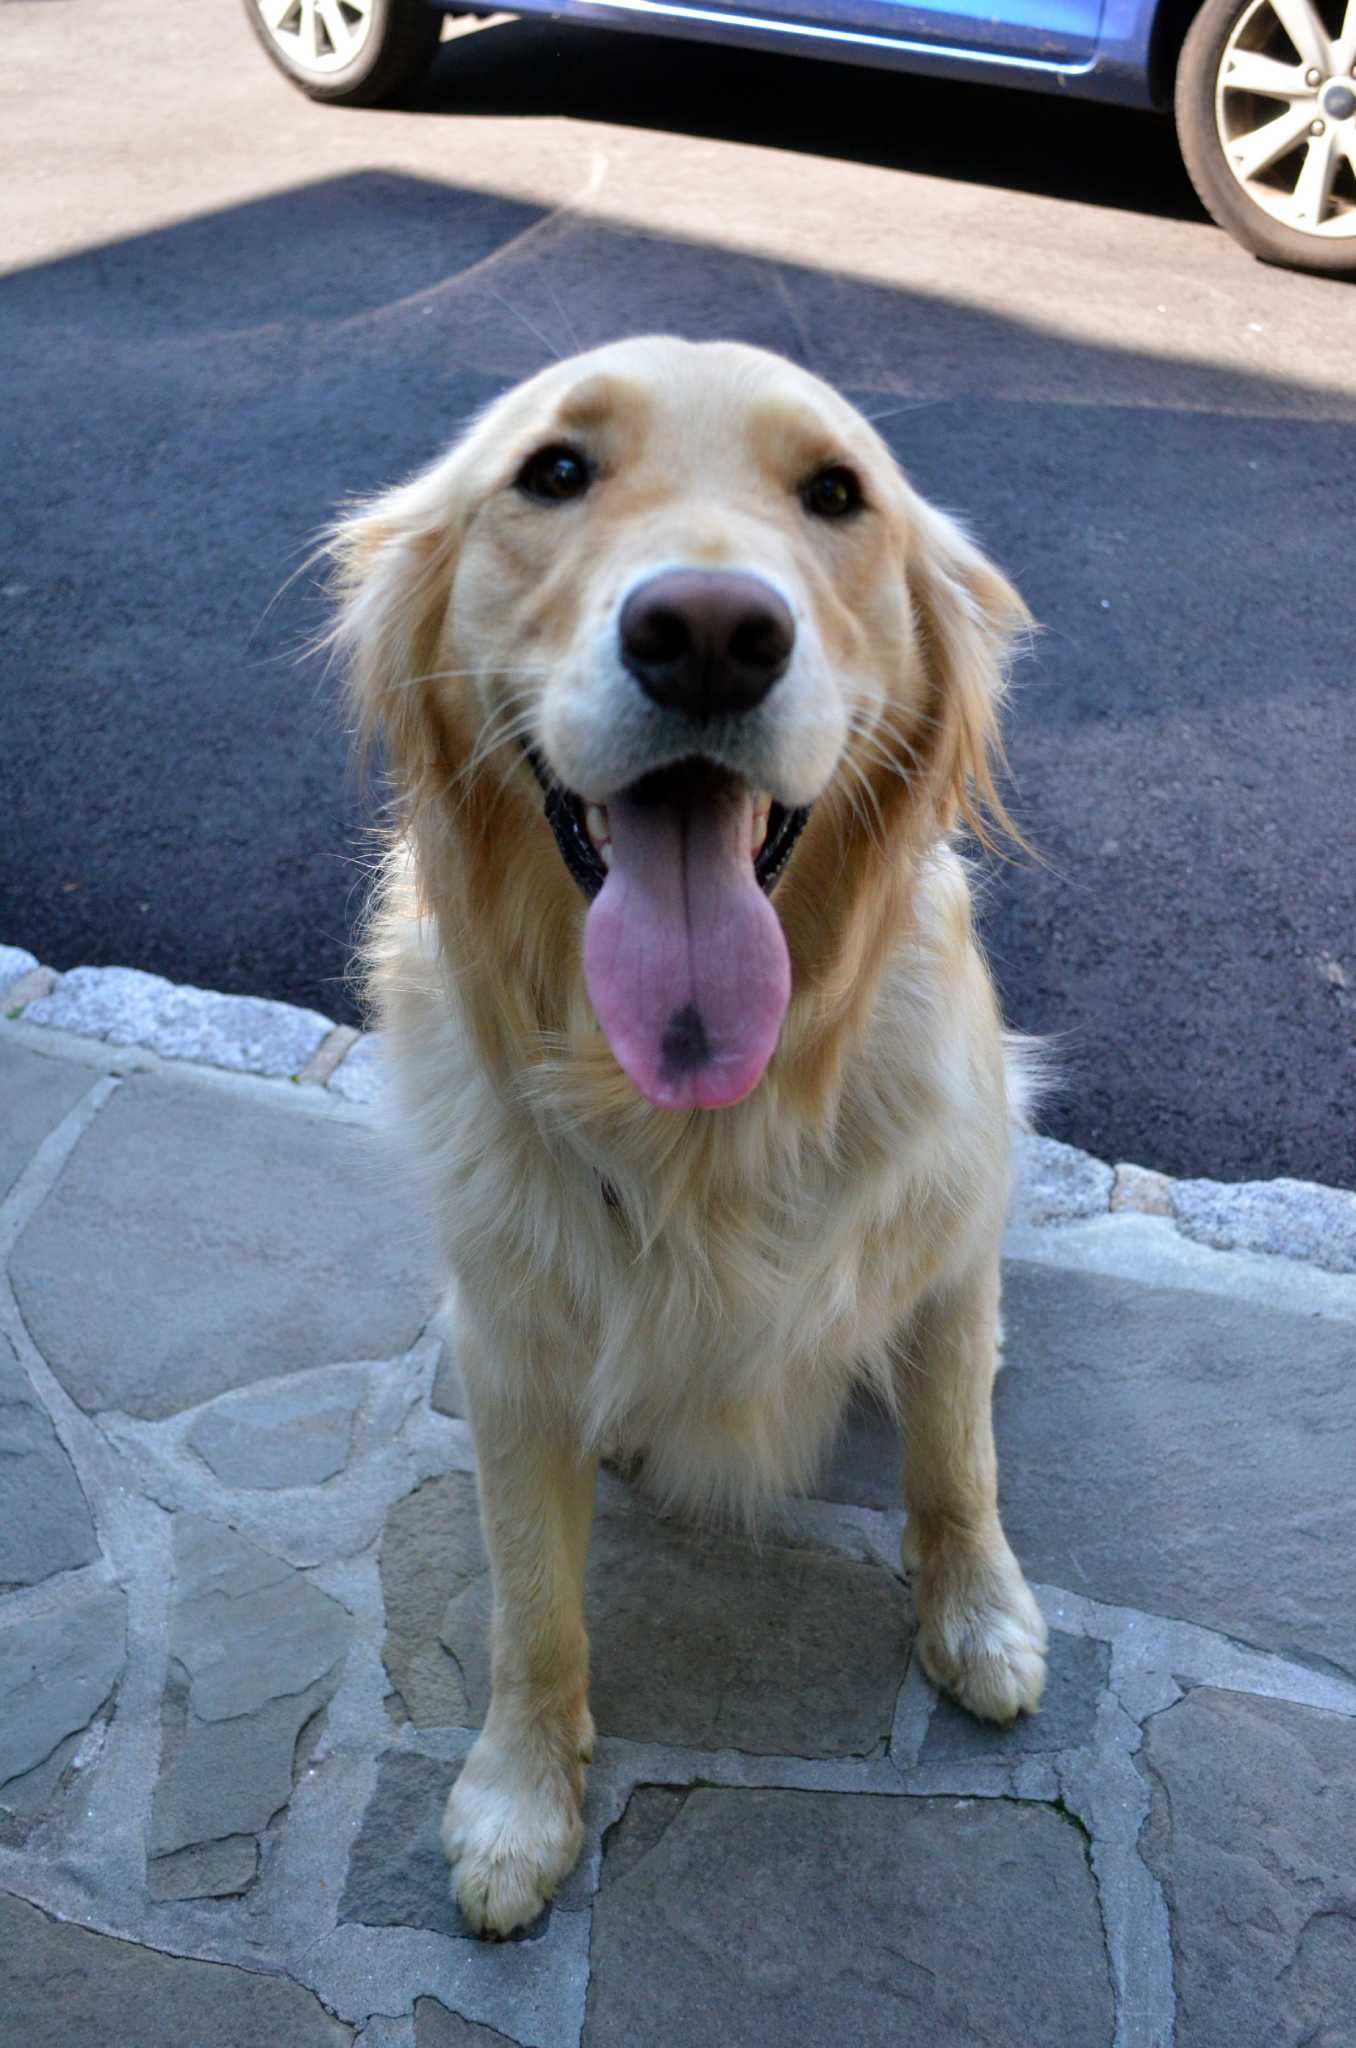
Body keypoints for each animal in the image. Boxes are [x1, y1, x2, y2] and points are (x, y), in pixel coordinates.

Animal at [329, 335, 1048, 1933]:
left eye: (837, 494)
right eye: (553, 471)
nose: (710, 633)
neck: (699, 1121)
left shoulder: (948, 1242)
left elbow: (956, 1462)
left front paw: (980, 1617)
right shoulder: (511, 1346)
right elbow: (533, 1603)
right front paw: (519, 1798)